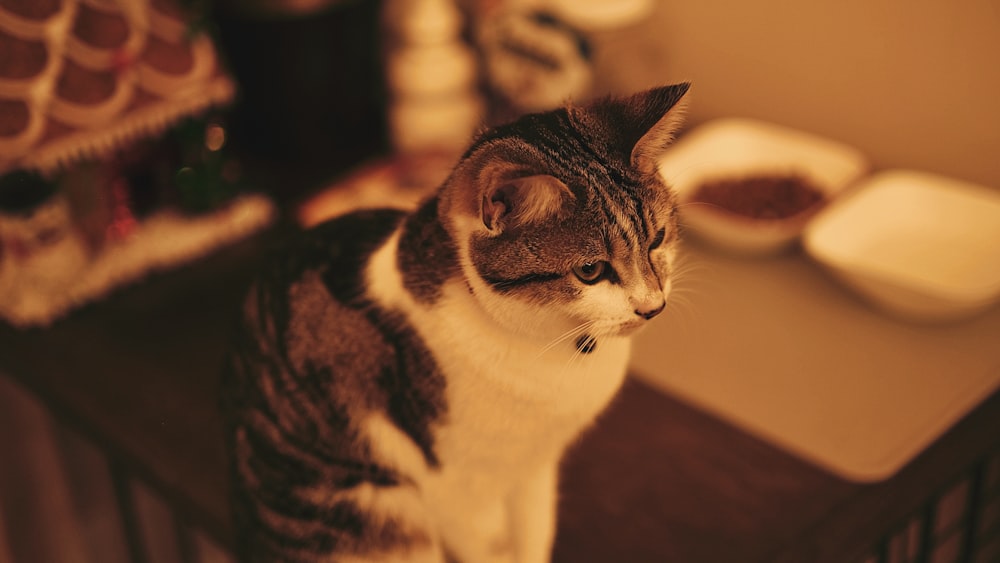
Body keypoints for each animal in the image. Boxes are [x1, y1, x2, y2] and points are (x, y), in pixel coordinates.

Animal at [221, 82, 688, 563]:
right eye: (591, 271)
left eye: (657, 239)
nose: (652, 306)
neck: (547, 349)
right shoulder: (453, 491)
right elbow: (484, 548)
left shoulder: (535, 469)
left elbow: (533, 534)